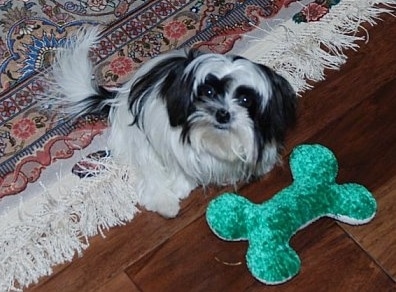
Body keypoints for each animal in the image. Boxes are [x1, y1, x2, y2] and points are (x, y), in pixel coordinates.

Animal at [44, 28, 296, 218]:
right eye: (208, 92)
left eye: (245, 100)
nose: (222, 114)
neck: (216, 139)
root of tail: (118, 97)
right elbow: (178, 163)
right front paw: (180, 186)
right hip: (136, 137)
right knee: (150, 170)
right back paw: (164, 203)